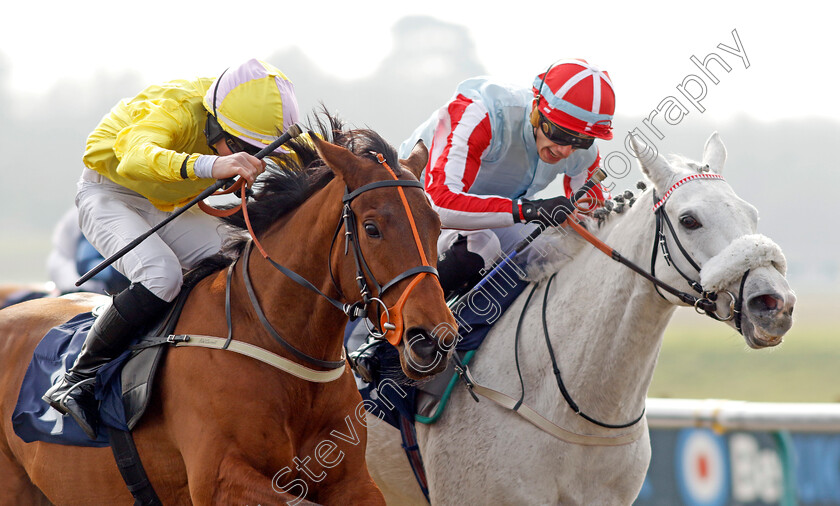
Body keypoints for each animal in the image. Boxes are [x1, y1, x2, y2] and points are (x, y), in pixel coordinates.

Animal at [0, 117, 456, 502]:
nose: (432, 340)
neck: (276, 341)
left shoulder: (352, 481)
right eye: (372, 228)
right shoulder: (221, 480)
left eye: (436, 224)